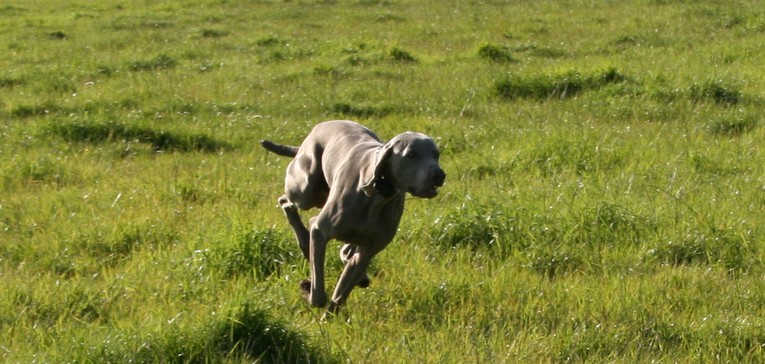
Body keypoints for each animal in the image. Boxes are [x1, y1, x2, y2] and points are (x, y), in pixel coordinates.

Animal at [262, 121, 444, 318]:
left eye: (436, 154)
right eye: (411, 154)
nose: (439, 175)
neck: (378, 195)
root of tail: (319, 126)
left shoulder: (366, 253)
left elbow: (340, 294)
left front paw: (329, 317)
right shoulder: (321, 231)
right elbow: (319, 296)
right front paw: (307, 288)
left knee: (329, 234)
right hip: (306, 190)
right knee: (288, 203)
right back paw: (304, 242)